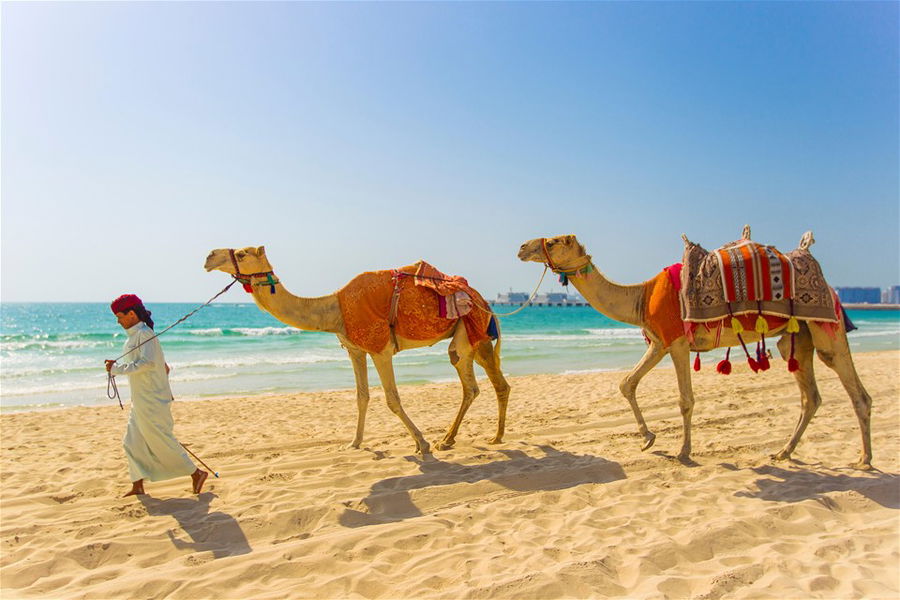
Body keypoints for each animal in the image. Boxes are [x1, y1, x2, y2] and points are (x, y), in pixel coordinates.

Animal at [207, 245, 510, 454]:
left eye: (242, 253)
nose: (209, 256)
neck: (335, 308)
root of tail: (485, 301)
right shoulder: (355, 350)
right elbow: (361, 397)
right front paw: (354, 443)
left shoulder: (379, 348)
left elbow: (392, 399)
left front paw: (421, 443)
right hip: (472, 336)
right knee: (480, 384)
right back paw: (463, 438)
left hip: (471, 331)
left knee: (482, 382)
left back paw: (474, 438)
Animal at [516, 232, 876, 472]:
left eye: (554, 241)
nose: (521, 247)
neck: (641, 296)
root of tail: (831, 289)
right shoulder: (659, 341)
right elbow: (627, 383)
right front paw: (648, 438)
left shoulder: (676, 341)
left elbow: (685, 400)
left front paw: (683, 452)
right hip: (797, 337)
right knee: (809, 396)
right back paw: (784, 452)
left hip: (825, 328)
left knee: (855, 390)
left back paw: (864, 459)